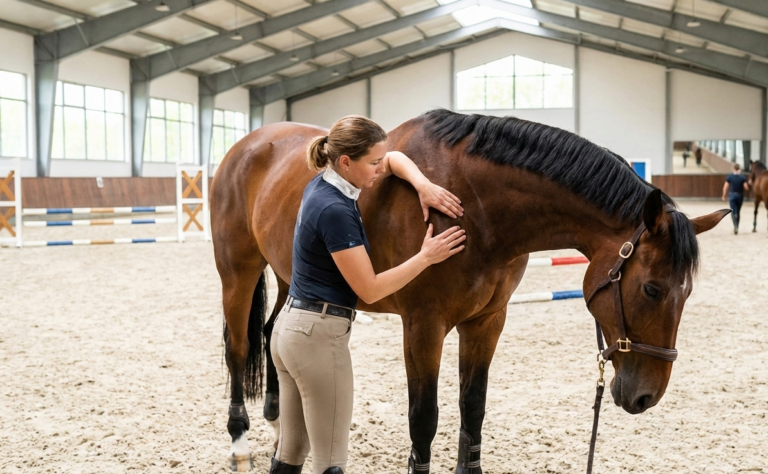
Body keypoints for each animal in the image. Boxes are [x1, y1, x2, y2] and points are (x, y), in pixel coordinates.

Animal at [210, 109, 729, 473]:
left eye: (685, 294)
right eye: (653, 289)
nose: (646, 397)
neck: (476, 208)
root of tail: (246, 146)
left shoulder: (486, 322)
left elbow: (472, 408)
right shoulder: (423, 327)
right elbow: (424, 419)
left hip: (286, 273)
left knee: (273, 332)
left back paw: (279, 424)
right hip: (238, 273)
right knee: (238, 348)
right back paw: (239, 443)